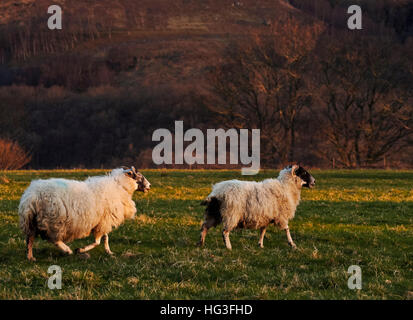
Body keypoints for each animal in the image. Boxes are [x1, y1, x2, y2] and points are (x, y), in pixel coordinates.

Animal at [18, 166, 150, 262]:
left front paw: (109, 251)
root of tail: (31, 196)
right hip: (54, 220)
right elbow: (97, 241)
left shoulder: (104, 220)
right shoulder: (104, 221)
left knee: (29, 239)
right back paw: (67, 250)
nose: (149, 186)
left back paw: (30, 257)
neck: (120, 186)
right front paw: (81, 250)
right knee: (53, 239)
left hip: (32, 222)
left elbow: (105, 238)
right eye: (139, 176)